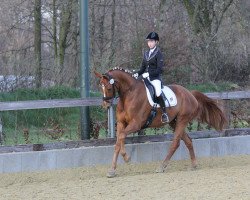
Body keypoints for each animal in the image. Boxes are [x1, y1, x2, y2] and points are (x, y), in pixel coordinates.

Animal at [94, 68, 227, 177]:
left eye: (109, 87)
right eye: (100, 87)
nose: (105, 105)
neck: (129, 94)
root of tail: (190, 94)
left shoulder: (136, 124)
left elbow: (121, 137)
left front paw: (127, 158)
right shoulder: (122, 123)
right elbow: (118, 142)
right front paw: (112, 170)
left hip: (182, 120)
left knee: (175, 143)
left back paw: (162, 166)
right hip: (174, 122)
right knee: (188, 141)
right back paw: (193, 164)